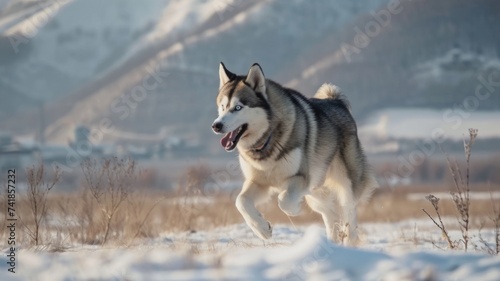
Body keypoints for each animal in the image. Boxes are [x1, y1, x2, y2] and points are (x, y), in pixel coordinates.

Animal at [212, 62, 378, 242]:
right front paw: (262, 229)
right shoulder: (258, 182)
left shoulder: (299, 178)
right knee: (330, 213)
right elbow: (240, 201)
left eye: (238, 107)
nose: (216, 125)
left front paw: (294, 210)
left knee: (349, 211)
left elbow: (283, 200)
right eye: (222, 107)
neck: (268, 140)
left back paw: (348, 239)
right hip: (316, 190)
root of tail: (336, 100)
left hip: (344, 182)